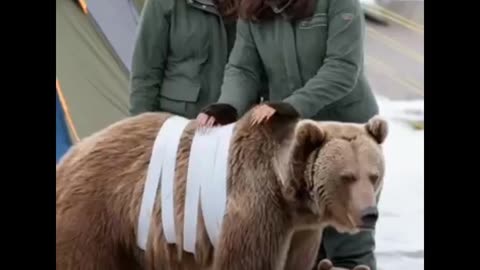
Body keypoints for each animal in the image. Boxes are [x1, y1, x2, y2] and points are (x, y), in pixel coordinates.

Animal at [56, 102, 388, 270]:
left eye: (374, 175)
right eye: (347, 176)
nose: (369, 214)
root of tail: (74, 152)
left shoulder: (301, 232)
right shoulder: (256, 209)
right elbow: (245, 262)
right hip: (96, 214)